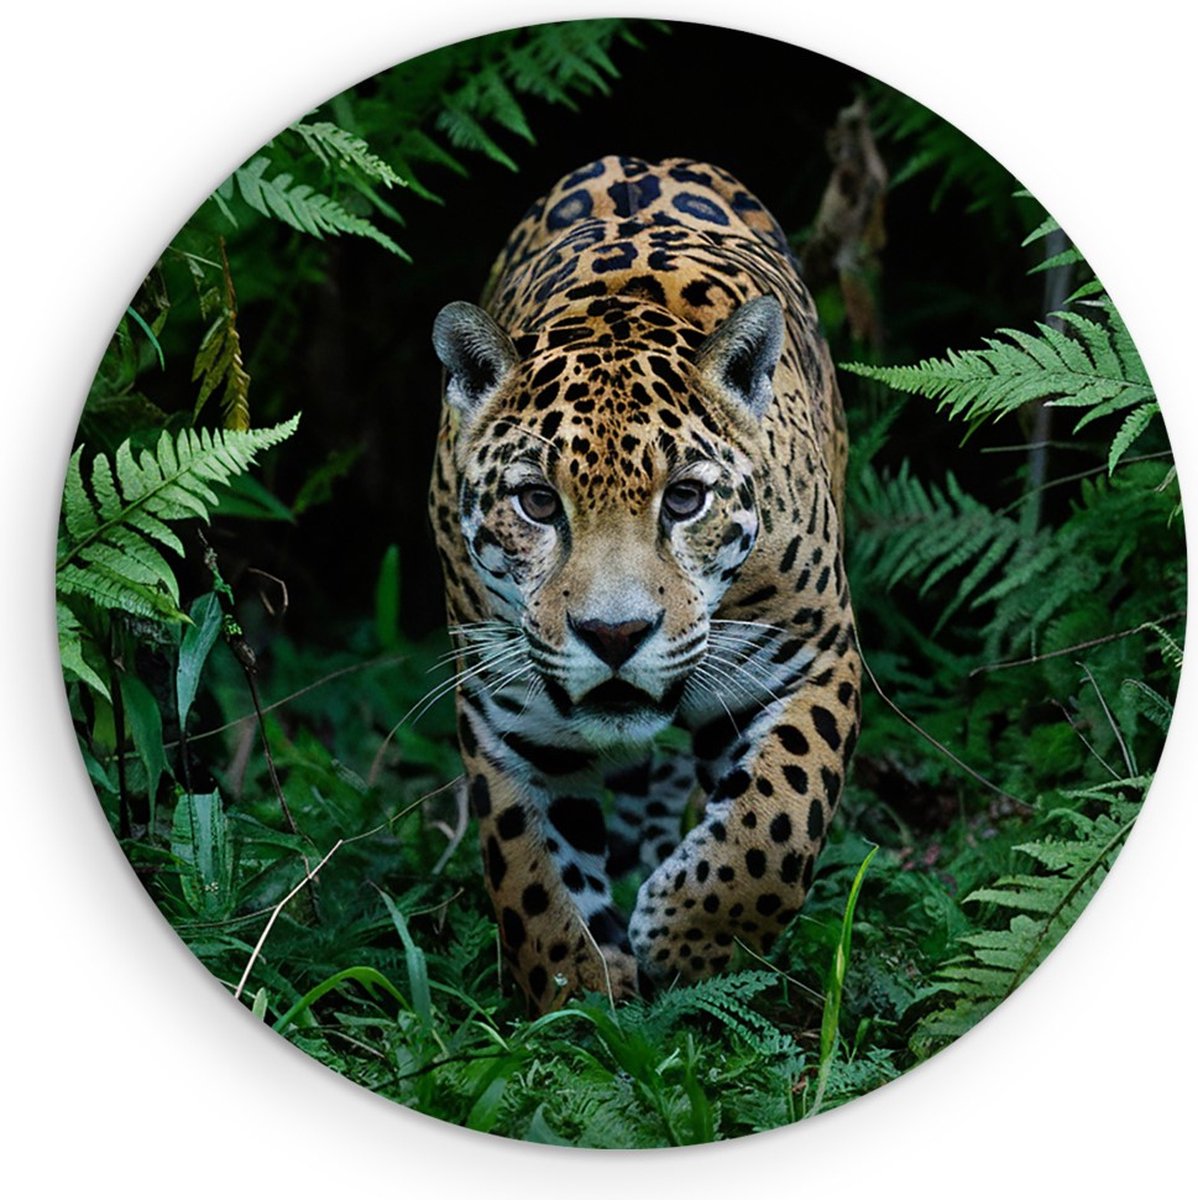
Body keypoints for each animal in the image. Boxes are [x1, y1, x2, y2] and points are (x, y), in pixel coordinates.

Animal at [428, 154, 861, 1013]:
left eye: (685, 499)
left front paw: (689, 940)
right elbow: (535, 885)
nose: (615, 636)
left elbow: (777, 823)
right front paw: (582, 1003)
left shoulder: (815, 652)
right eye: (537, 502)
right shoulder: (510, 712)